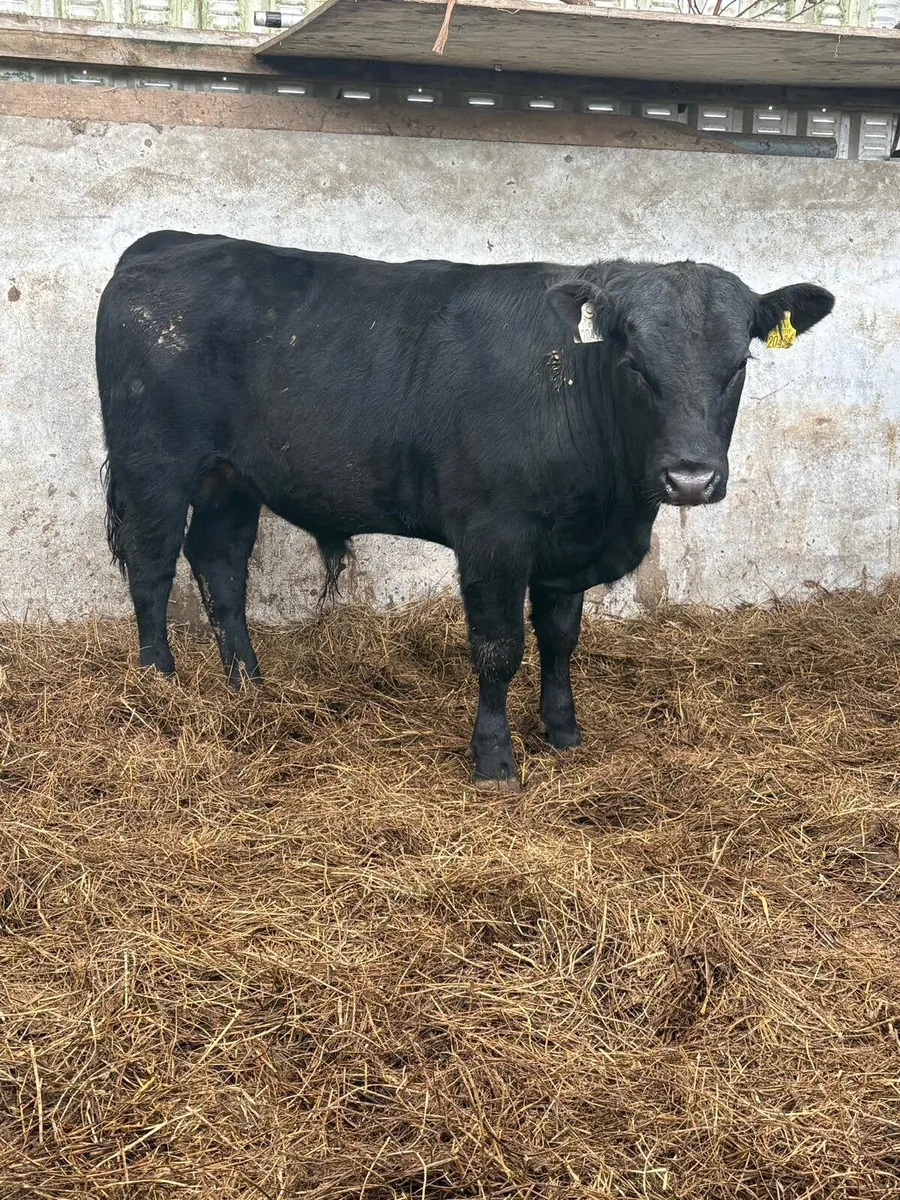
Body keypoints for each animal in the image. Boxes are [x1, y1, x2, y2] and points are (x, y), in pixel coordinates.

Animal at [96, 232, 833, 789]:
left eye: (737, 365)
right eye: (633, 363)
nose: (690, 478)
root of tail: (167, 243)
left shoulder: (566, 549)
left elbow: (560, 639)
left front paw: (563, 730)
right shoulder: (493, 537)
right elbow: (499, 649)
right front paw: (494, 760)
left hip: (231, 479)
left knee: (220, 566)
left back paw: (247, 684)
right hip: (153, 464)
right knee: (152, 567)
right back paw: (158, 684)